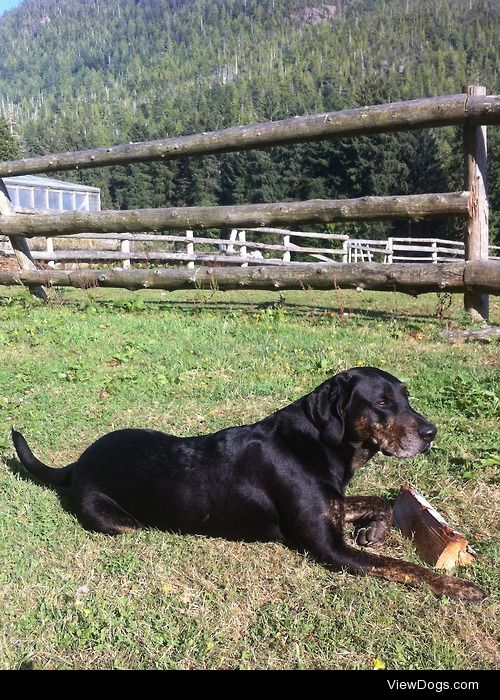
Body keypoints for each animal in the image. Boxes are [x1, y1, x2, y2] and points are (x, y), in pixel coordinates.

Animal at [13, 366, 486, 600]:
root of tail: (76, 462)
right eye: (383, 403)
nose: (432, 433)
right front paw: (459, 587)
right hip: (120, 521)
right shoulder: (329, 549)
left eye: (405, 396)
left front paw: (373, 529)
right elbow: (403, 566)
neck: (318, 444)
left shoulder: (335, 506)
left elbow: (381, 501)